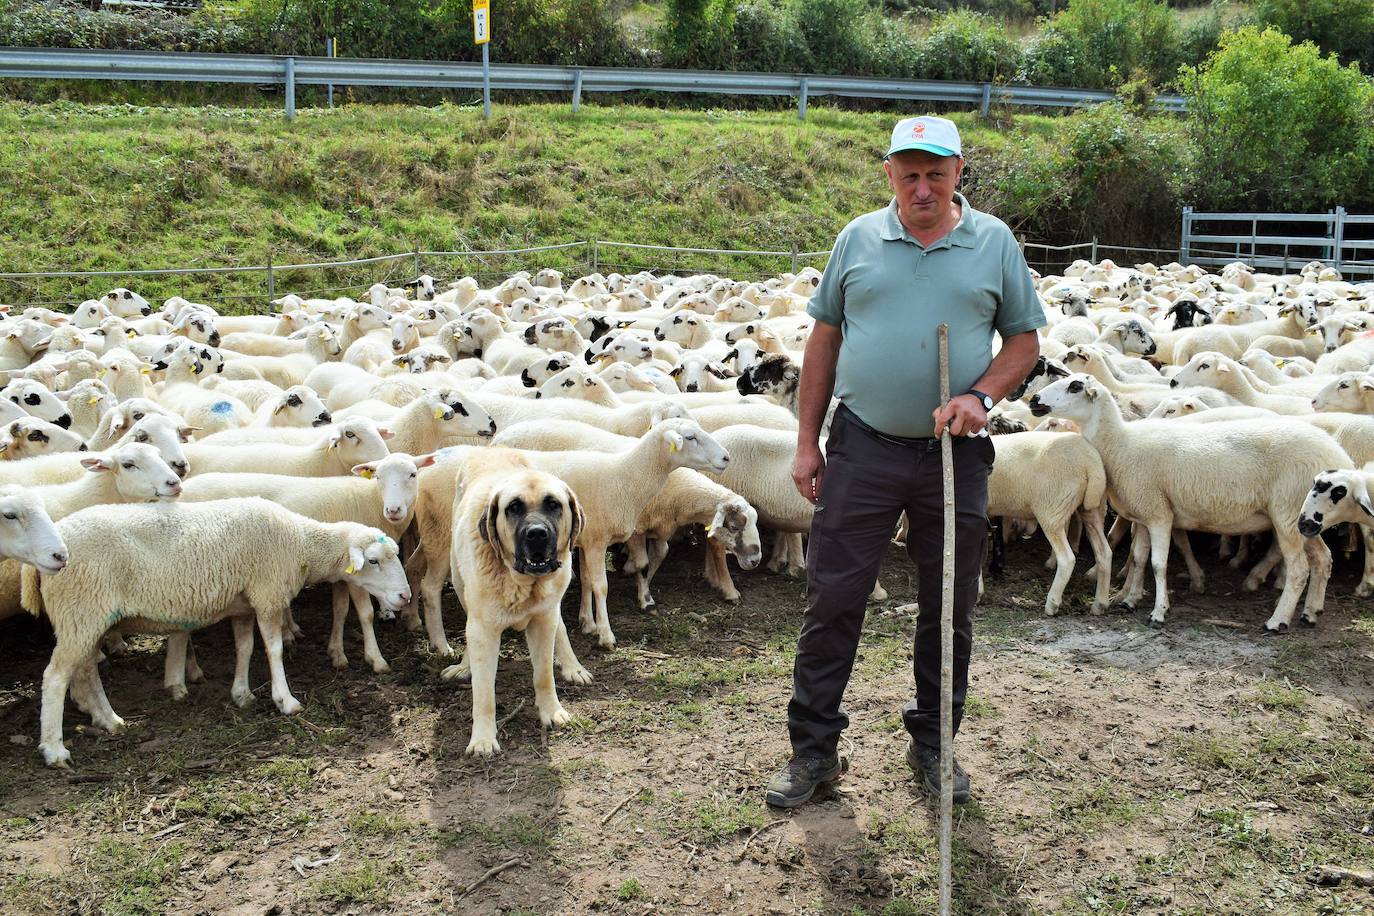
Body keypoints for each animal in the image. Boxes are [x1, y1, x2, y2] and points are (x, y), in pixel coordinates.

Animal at [21, 494, 406, 769]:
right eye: (373, 561)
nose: (405, 596)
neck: (299, 543)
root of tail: (49, 553)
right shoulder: (267, 594)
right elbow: (274, 650)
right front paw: (286, 701)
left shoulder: (244, 605)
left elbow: (245, 648)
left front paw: (242, 694)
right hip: (81, 610)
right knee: (55, 677)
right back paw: (54, 749)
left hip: (85, 618)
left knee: (85, 670)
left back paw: (109, 720)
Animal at [445, 447, 585, 758]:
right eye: (513, 508)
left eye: (553, 504)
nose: (537, 533)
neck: (522, 582)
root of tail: (490, 448)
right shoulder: (483, 631)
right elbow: (484, 693)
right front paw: (483, 739)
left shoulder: (543, 620)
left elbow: (544, 674)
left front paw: (551, 711)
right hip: (459, 584)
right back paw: (464, 666)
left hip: (553, 604)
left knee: (561, 629)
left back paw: (574, 667)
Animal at [1033, 376, 1341, 634]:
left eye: (1074, 386)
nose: (1035, 399)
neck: (1119, 443)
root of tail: (1334, 453)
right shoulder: (1145, 512)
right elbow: (1139, 558)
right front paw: (1130, 600)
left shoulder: (1159, 515)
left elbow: (1158, 564)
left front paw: (1158, 612)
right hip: (1305, 520)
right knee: (1323, 559)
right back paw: (1311, 613)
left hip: (1287, 511)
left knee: (1299, 569)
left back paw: (1278, 620)